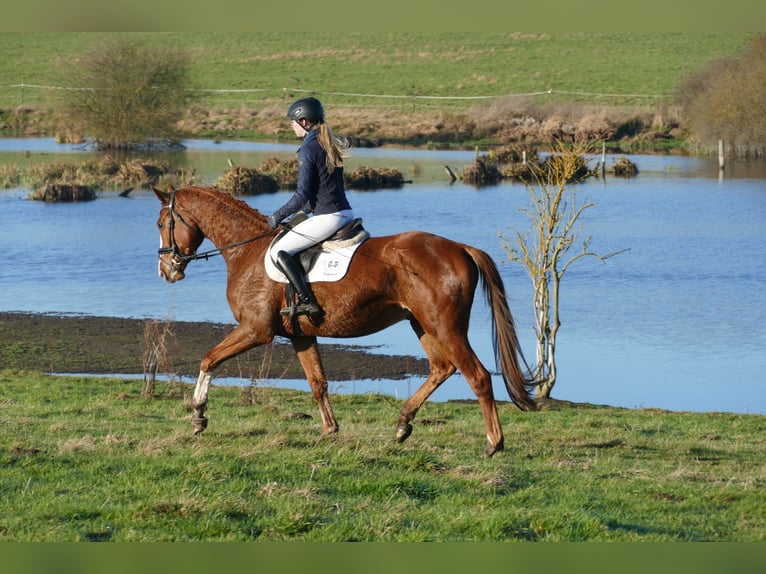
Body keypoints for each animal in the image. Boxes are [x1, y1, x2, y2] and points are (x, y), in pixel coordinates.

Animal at [153, 185, 535, 457]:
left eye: (161, 224)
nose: (166, 271)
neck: (248, 250)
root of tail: (460, 248)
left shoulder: (255, 330)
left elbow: (208, 359)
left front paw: (198, 416)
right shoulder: (300, 336)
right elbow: (317, 382)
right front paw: (330, 430)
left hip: (445, 326)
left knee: (478, 376)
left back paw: (493, 443)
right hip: (423, 324)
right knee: (442, 368)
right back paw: (402, 424)